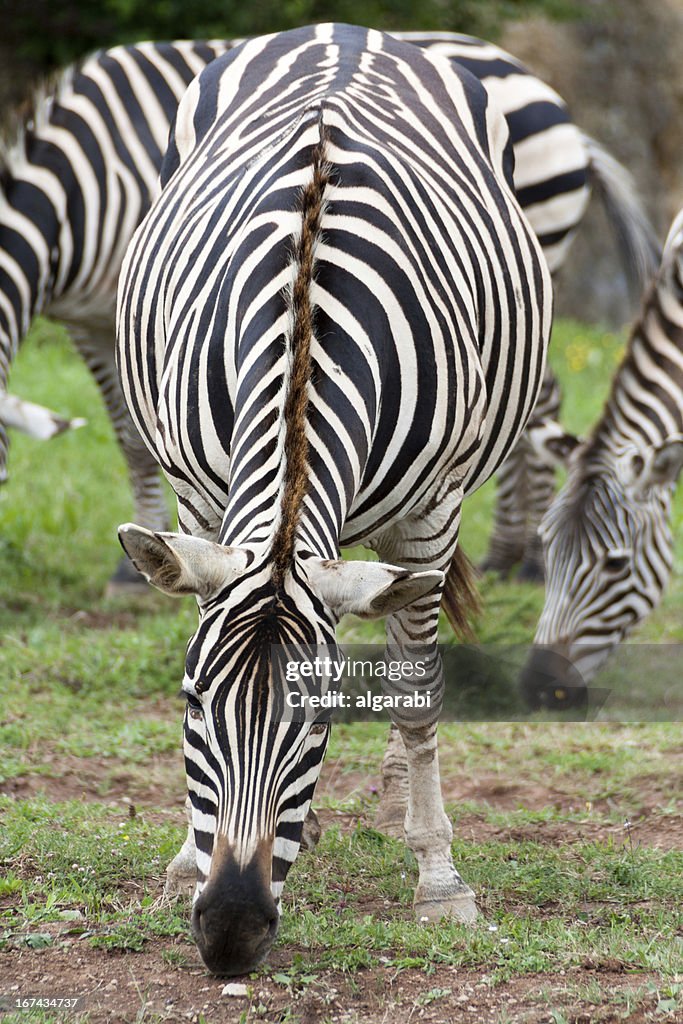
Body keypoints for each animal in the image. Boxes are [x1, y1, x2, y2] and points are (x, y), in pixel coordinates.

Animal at [0, 29, 655, 593]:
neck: (78, 182)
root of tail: (532, 78)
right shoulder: (92, 319)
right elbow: (131, 437)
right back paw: (508, 555)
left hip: (535, 256)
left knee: (541, 403)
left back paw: (528, 562)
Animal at [116, 19, 557, 970]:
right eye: (192, 705)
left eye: (316, 721)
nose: (230, 932)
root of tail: (338, 29)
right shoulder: (199, 502)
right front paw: (182, 862)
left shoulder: (430, 518)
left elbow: (418, 687)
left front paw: (439, 880)